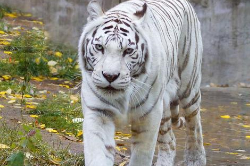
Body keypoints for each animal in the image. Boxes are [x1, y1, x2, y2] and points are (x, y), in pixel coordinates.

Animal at [79, 0, 206, 166]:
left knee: (194, 125)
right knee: (170, 141)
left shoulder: (149, 116)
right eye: (99, 47)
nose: (110, 76)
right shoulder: (99, 113)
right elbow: (98, 152)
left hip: (188, 86)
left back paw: (195, 159)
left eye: (128, 50)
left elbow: (142, 155)